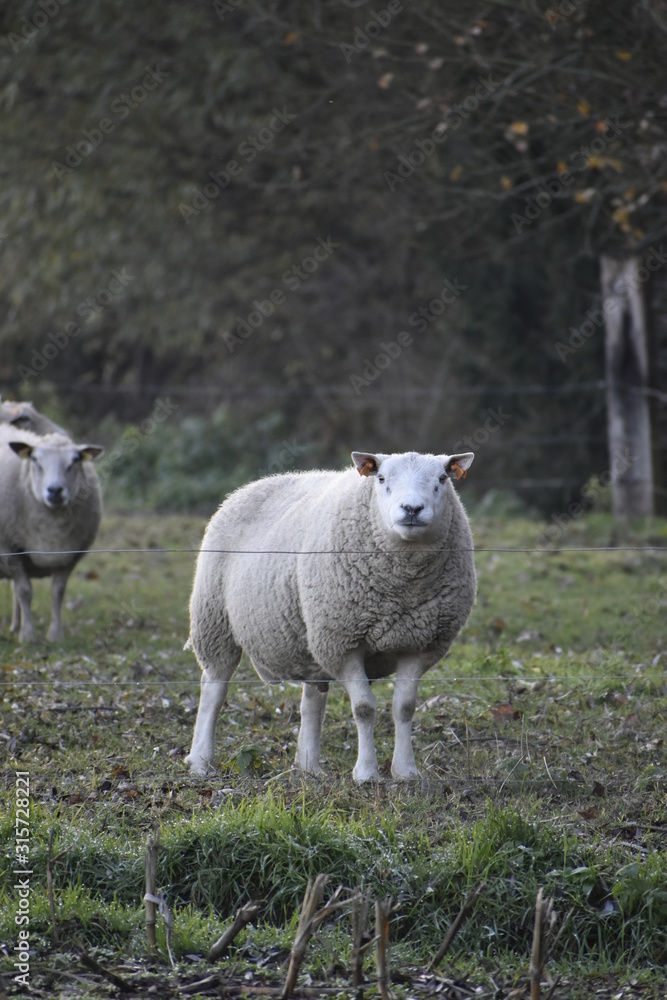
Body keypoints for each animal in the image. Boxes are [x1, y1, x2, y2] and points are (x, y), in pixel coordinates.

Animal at [0, 426, 104, 642]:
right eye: (35, 460)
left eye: (74, 461)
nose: (55, 490)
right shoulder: (10, 550)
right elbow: (24, 592)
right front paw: (28, 636)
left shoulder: (71, 555)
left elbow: (58, 592)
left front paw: (55, 635)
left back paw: (15, 625)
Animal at [186, 449, 476, 782]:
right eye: (381, 479)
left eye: (442, 479)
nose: (412, 509)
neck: (404, 585)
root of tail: (251, 485)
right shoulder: (343, 643)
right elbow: (364, 708)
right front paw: (366, 774)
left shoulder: (419, 645)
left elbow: (404, 708)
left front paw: (405, 771)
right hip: (214, 619)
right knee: (214, 688)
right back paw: (200, 761)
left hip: (311, 636)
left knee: (312, 700)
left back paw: (308, 766)